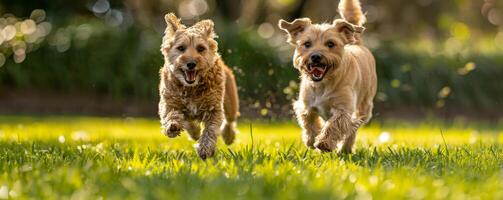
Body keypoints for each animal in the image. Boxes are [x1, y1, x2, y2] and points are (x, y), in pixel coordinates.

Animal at [159, 12, 242, 159]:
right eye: (181, 48)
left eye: (201, 48)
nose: (191, 63)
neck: (190, 88)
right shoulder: (168, 102)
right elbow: (170, 114)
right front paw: (172, 126)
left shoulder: (213, 109)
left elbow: (210, 130)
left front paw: (205, 149)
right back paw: (194, 132)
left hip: (231, 102)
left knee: (230, 121)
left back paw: (228, 137)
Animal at [280, 0, 378, 153]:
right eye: (307, 44)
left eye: (330, 44)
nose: (315, 56)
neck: (323, 84)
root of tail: (357, 43)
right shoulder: (306, 105)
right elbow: (309, 121)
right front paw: (312, 139)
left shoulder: (343, 109)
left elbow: (335, 124)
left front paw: (323, 143)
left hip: (364, 106)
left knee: (353, 129)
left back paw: (345, 149)